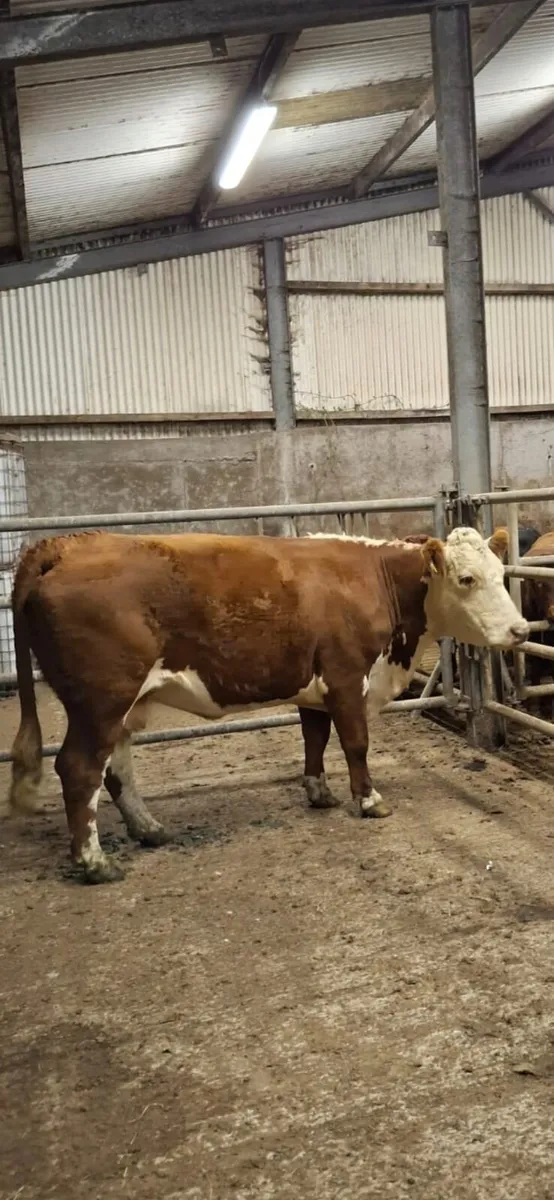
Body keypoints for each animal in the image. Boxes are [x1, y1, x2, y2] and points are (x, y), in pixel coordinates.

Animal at [7, 526, 527, 885]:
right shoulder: (345, 677)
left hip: (123, 703)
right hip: (101, 700)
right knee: (79, 769)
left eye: (502, 576)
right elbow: (355, 743)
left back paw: (149, 829)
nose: (521, 630)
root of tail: (63, 545)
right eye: (467, 578)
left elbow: (315, 739)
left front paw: (319, 793)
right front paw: (369, 800)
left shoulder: (315, 687)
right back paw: (95, 862)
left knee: (115, 768)